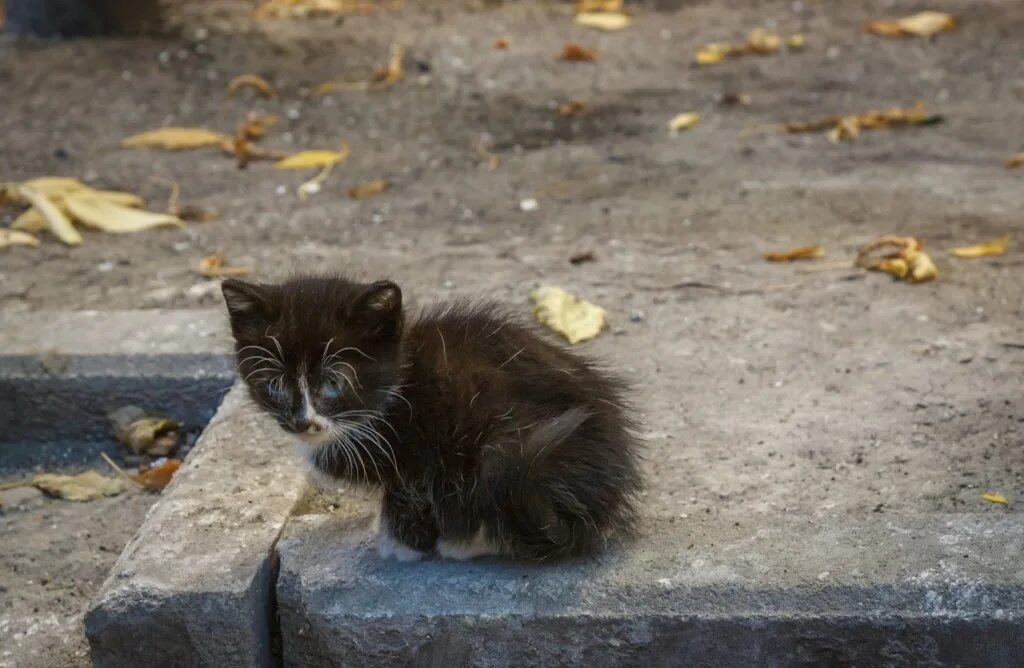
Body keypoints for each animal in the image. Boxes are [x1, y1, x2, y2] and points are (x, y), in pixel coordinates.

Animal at [224, 274, 638, 561]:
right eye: (274, 384)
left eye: (333, 383)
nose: (301, 422)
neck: (398, 388)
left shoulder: (418, 450)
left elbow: (407, 493)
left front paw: (399, 544)